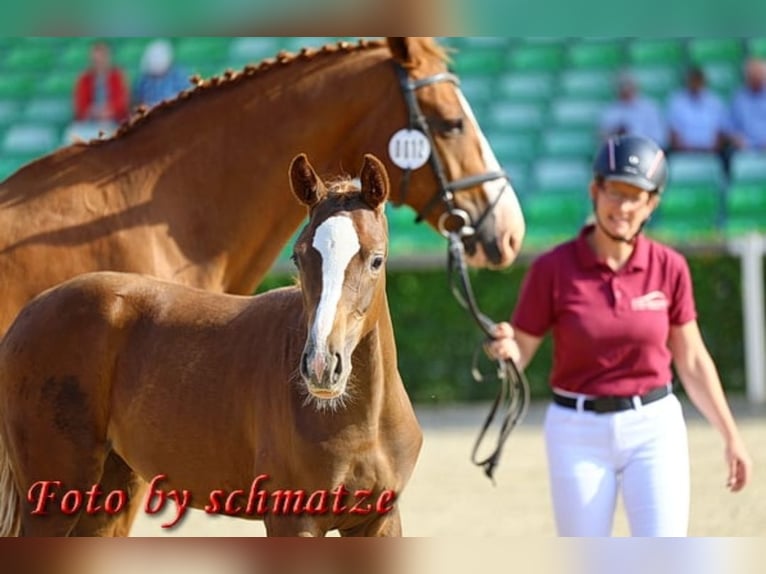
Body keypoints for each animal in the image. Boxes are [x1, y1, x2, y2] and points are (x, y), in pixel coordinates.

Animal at [0, 152, 421, 537]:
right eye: (298, 258)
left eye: (377, 260)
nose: (320, 366)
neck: (363, 424)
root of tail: (27, 315)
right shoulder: (293, 521)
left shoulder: (379, 521)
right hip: (53, 500)